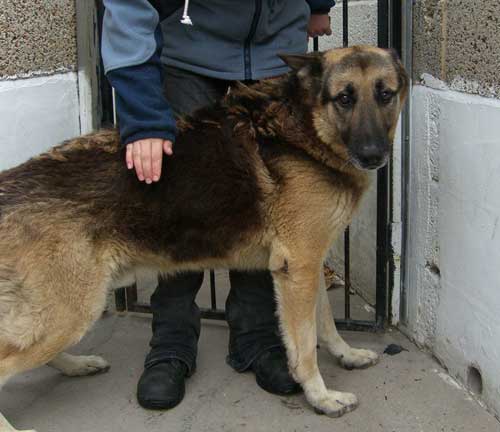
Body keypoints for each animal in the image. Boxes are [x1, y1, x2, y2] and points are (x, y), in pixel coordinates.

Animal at [0, 45, 406, 430]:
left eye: (385, 94)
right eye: (344, 98)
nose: (373, 155)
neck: (306, 128)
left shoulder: (308, 266)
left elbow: (326, 323)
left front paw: (347, 355)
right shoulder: (299, 269)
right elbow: (305, 345)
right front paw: (321, 397)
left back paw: (75, 365)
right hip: (71, 310)